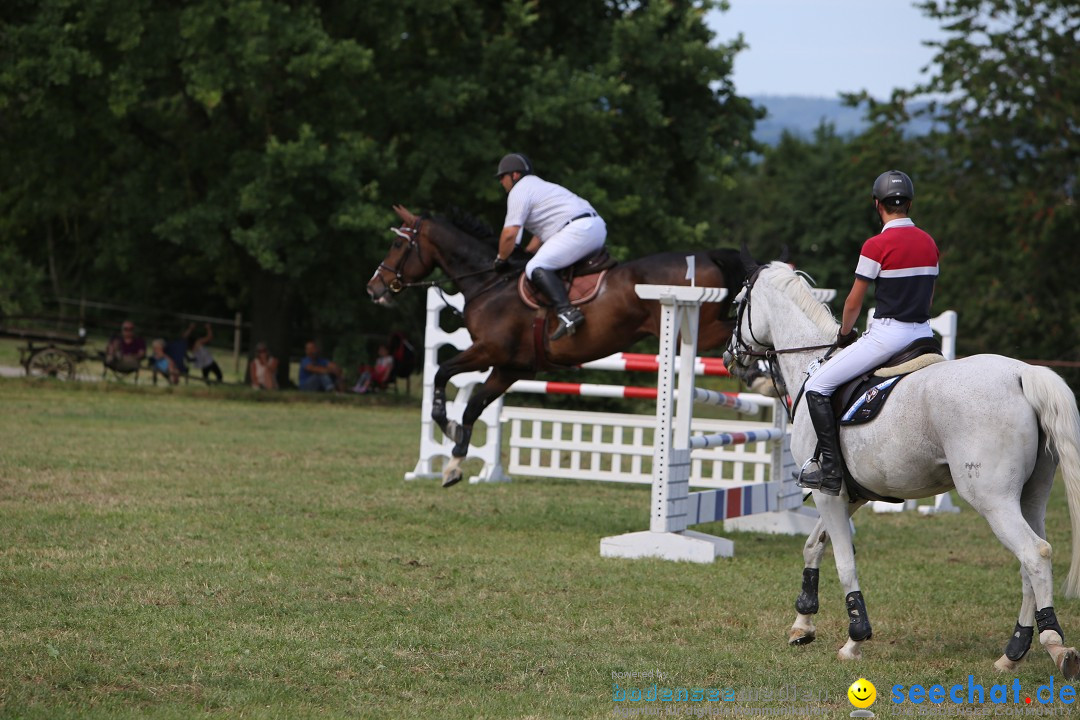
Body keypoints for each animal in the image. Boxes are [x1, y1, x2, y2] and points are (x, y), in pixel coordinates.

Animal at [367, 208, 747, 490]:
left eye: (398, 245)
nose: (374, 288)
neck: (490, 283)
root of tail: (707, 256)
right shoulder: (509, 368)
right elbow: (473, 406)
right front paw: (454, 464)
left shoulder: (488, 351)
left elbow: (442, 373)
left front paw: (445, 424)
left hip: (700, 329)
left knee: (735, 329)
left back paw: (754, 371)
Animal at [725, 262, 1080, 677]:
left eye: (737, 304)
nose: (732, 358)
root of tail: (1022, 374)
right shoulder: (851, 496)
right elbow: (813, 546)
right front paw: (803, 624)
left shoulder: (829, 493)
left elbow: (844, 562)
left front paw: (854, 640)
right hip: (1030, 497)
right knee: (1031, 561)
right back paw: (1013, 652)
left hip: (993, 500)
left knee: (1034, 554)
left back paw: (1054, 645)